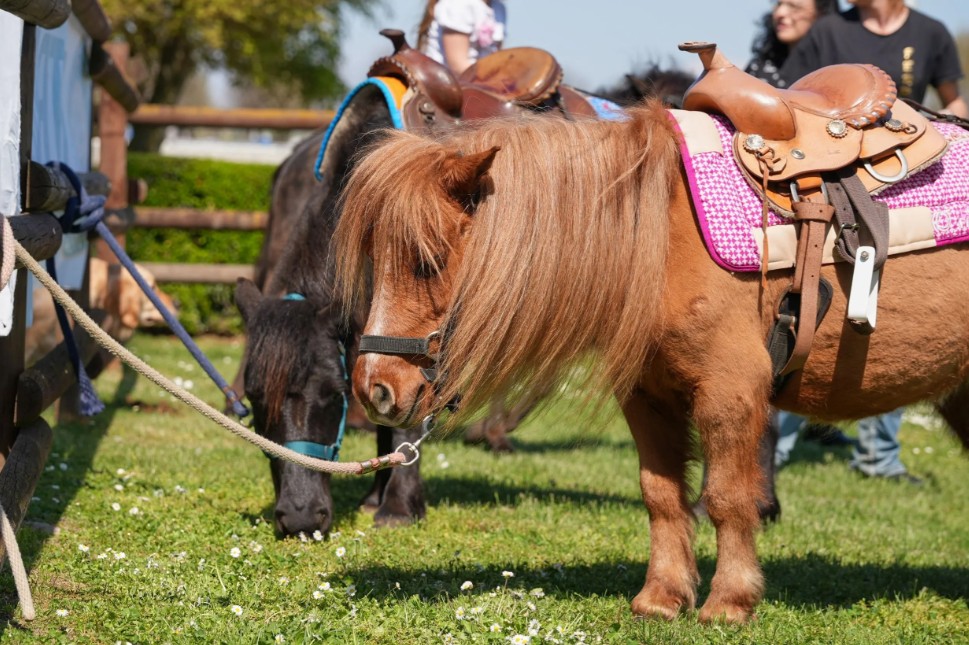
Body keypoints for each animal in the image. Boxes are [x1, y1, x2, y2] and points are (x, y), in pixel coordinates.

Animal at [331, 99, 969, 622]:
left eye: (429, 260)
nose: (374, 389)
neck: (662, 234)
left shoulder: (732, 390)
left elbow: (727, 497)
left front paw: (729, 601)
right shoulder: (647, 396)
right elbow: (660, 495)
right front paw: (663, 596)